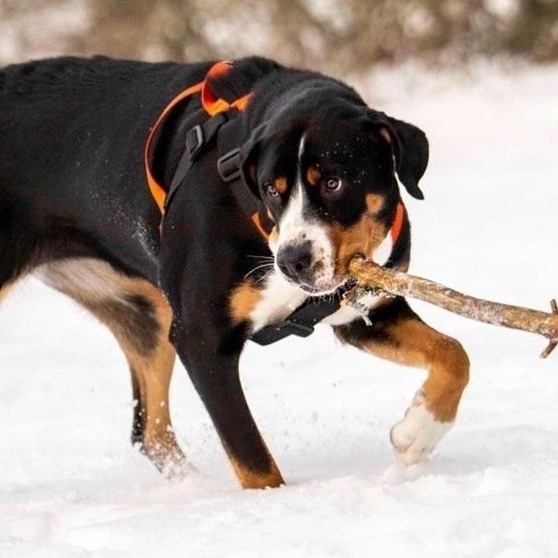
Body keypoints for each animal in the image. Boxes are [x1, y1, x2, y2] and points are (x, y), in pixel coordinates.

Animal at [0, 55, 469, 488]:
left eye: (333, 182)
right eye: (270, 190)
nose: (292, 261)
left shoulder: (363, 313)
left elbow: (454, 354)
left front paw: (417, 434)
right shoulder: (202, 338)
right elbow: (251, 456)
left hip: (146, 314)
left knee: (149, 432)